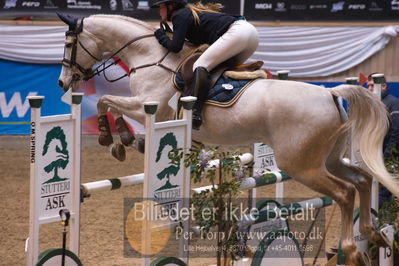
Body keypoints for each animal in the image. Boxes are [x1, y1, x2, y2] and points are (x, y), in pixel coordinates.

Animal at [57, 14, 399, 266]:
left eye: (69, 42)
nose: (62, 82)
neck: (150, 58)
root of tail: (331, 93)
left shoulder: (148, 108)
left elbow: (107, 102)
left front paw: (114, 138)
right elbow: (110, 103)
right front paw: (126, 140)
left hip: (302, 165)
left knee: (344, 192)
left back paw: (351, 248)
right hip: (328, 158)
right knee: (363, 179)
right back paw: (372, 235)